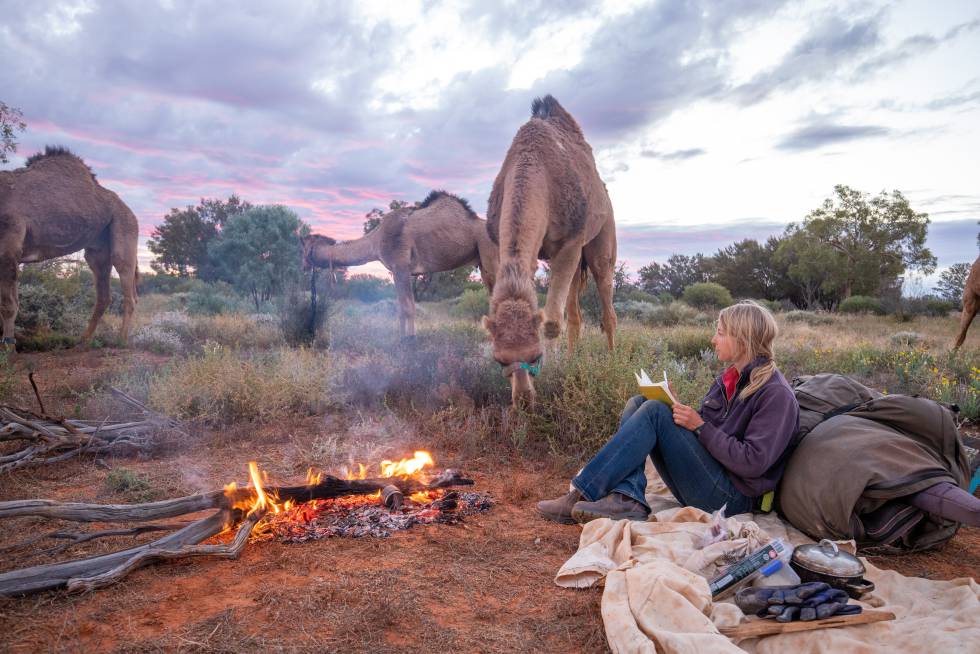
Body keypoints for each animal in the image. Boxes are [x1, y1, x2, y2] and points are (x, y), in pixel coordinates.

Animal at [0, 145, 142, 346]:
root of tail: (128, 210)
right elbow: (15, 302)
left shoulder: (9, 246)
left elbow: (8, 305)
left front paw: (8, 348)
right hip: (97, 251)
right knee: (104, 295)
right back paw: (83, 339)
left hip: (124, 227)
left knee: (129, 292)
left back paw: (120, 340)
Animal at [300, 188, 502, 336]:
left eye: (303, 247)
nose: (304, 265)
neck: (376, 240)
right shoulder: (398, 271)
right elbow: (400, 308)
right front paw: (401, 338)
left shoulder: (401, 267)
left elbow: (408, 307)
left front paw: (410, 340)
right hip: (483, 264)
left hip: (490, 256)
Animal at [486, 95, 616, 408]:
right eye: (499, 360)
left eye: (536, 355)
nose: (523, 401)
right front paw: (561, 368)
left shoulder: (569, 242)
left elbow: (552, 323)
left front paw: (556, 375)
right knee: (575, 313)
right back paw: (572, 360)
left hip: (602, 235)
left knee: (606, 300)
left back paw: (613, 363)